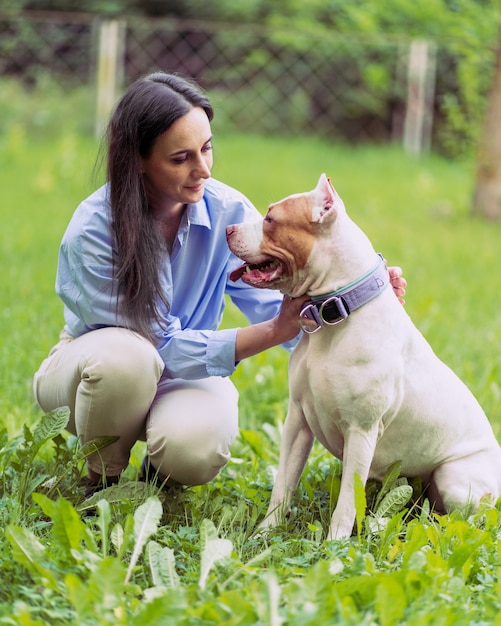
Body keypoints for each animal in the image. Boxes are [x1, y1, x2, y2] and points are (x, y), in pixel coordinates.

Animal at [227, 173, 500, 540]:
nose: (228, 228)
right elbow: (283, 484)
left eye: (270, 218)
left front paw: (334, 546)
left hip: (455, 478)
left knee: (468, 519)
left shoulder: (361, 431)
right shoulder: (297, 421)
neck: (334, 316)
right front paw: (264, 534)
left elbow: (346, 501)